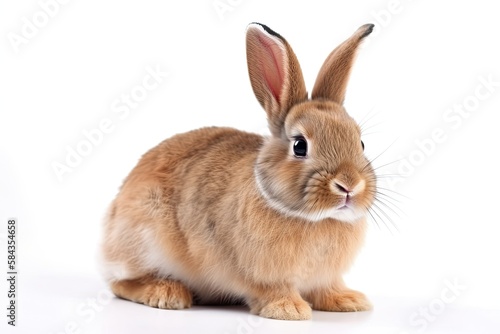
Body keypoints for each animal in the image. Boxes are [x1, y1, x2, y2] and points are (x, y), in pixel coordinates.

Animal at [100, 22, 376, 320]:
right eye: (300, 146)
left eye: (360, 143)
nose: (349, 185)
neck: (316, 219)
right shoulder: (259, 273)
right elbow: (272, 289)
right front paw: (288, 309)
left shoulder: (325, 277)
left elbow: (327, 288)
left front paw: (349, 301)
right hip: (144, 238)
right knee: (121, 283)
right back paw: (166, 293)